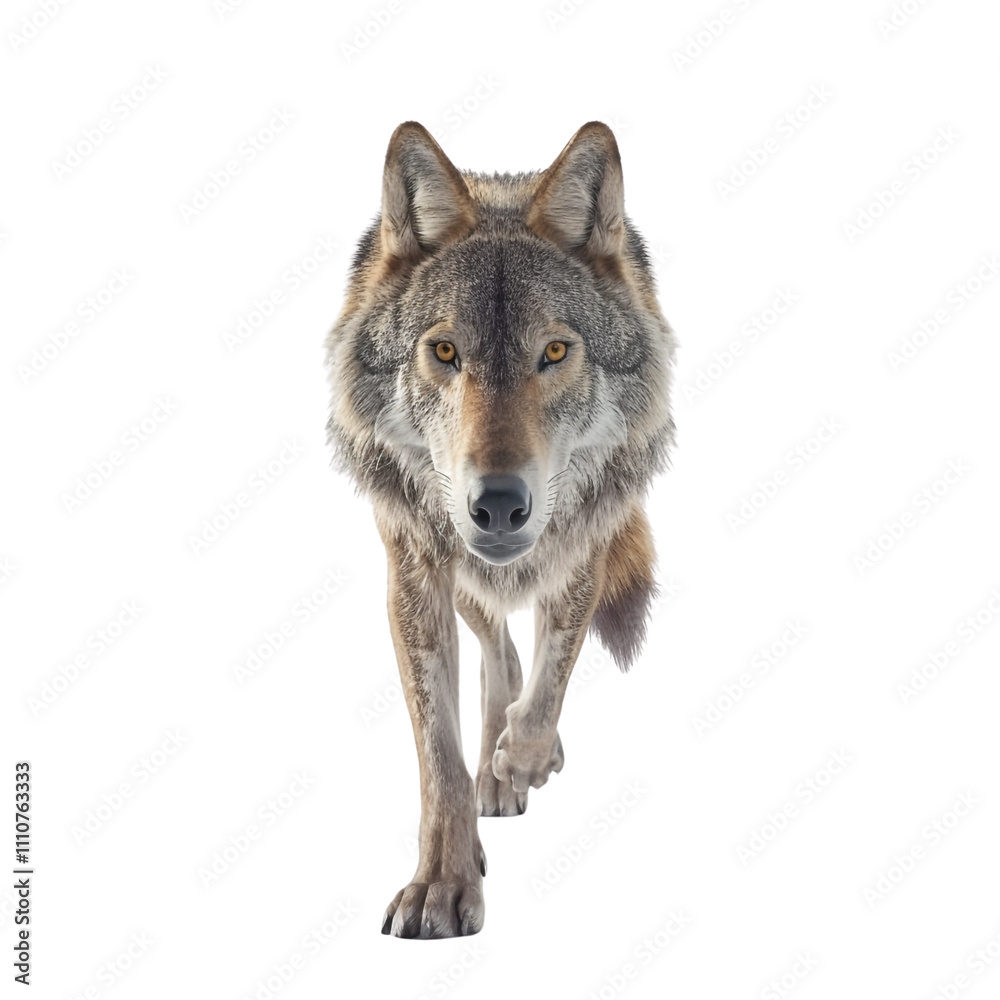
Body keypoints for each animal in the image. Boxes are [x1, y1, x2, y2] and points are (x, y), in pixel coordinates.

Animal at [325, 120, 676, 938]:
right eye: (445, 351)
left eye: (555, 351)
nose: (498, 505)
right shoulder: (414, 570)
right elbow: (440, 760)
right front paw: (442, 884)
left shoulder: (583, 550)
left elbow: (555, 675)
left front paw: (525, 758)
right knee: (496, 644)